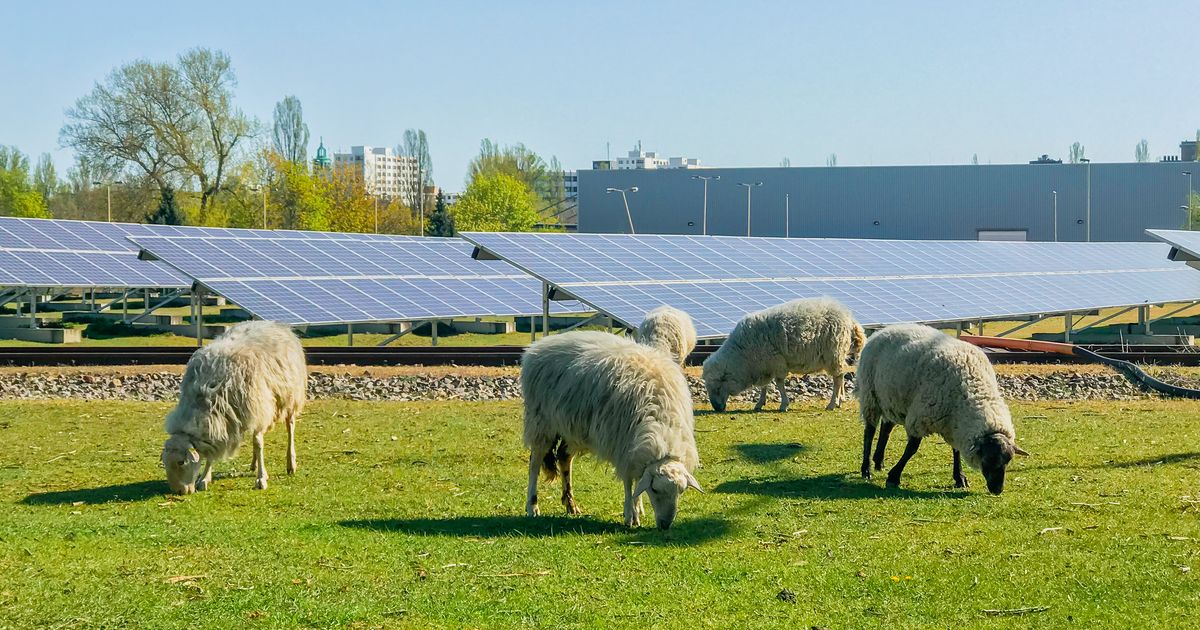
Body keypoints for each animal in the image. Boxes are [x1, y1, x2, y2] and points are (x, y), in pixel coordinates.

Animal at [160, 321, 307, 494]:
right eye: (164, 463)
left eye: (181, 462)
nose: (179, 492)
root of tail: (275, 323)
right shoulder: (225, 420)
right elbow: (213, 452)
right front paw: (204, 479)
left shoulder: (257, 407)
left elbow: (259, 444)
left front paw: (261, 479)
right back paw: (253, 464)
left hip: (289, 396)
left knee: (290, 427)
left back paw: (290, 463)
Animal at [518, 331, 700, 528]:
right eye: (655, 489)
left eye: (681, 491)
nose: (665, 525)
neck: (661, 421)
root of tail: (539, 346)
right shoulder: (622, 444)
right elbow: (628, 481)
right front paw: (630, 514)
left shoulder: (634, 448)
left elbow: (638, 480)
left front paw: (637, 506)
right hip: (541, 422)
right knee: (534, 464)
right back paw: (532, 506)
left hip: (571, 427)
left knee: (564, 457)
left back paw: (571, 504)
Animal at [700, 298, 868, 412]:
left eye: (717, 386)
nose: (717, 408)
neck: (742, 355)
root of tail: (849, 317)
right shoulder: (764, 365)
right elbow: (764, 386)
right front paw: (760, 403)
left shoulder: (775, 361)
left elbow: (779, 383)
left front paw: (784, 404)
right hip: (838, 354)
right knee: (841, 375)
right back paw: (840, 400)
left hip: (832, 353)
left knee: (837, 378)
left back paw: (832, 403)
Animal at [854, 321, 1032, 494]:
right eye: (988, 459)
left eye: (1008, 460)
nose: (997, 490)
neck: (972, 391)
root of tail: (884, 330)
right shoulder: (920, 417)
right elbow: (912, 448)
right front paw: (894, 477)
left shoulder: (954, 424)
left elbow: (956, 450)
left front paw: (960, 478)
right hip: (870, 394)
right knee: (869, 432)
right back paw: (866, 469)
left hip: (892, 399)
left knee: (886, 427)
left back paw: (879, 462)